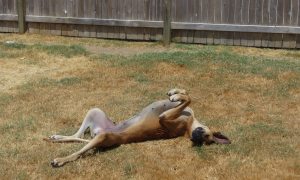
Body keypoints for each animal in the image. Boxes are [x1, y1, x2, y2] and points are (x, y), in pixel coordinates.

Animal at [45, 88, 231, 167]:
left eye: (205, 140)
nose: (196, 138)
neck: (189, 124)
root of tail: (102, 132)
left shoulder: (166, 119)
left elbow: (189, 98)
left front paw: (177, 95)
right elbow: (187, 95)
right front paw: (176, 92)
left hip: (103, 136)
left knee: (78, 151)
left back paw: (61, 160)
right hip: (95, 112)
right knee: (78, 135)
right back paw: (57, 137)